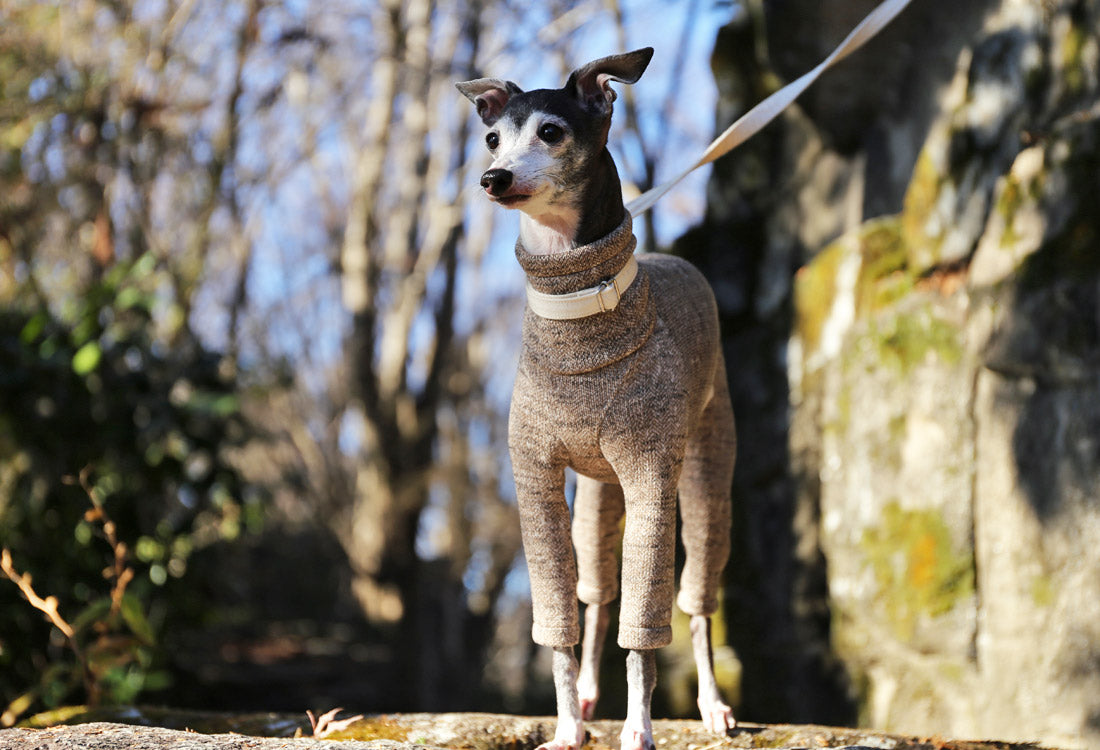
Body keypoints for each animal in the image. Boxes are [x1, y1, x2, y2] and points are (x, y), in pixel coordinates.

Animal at [459, 49, 734, 747]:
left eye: (552, 131)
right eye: (492, 138)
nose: (493, 178)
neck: (578, 309)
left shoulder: (650, 477)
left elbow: (645, 630)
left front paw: (638, 727)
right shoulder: (537, 481)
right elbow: (560, 621)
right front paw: (564, 726)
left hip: (705, 470)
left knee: (696, 601)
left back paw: (713, 704)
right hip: (595, 492)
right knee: (598, 593)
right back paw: (585, 694)